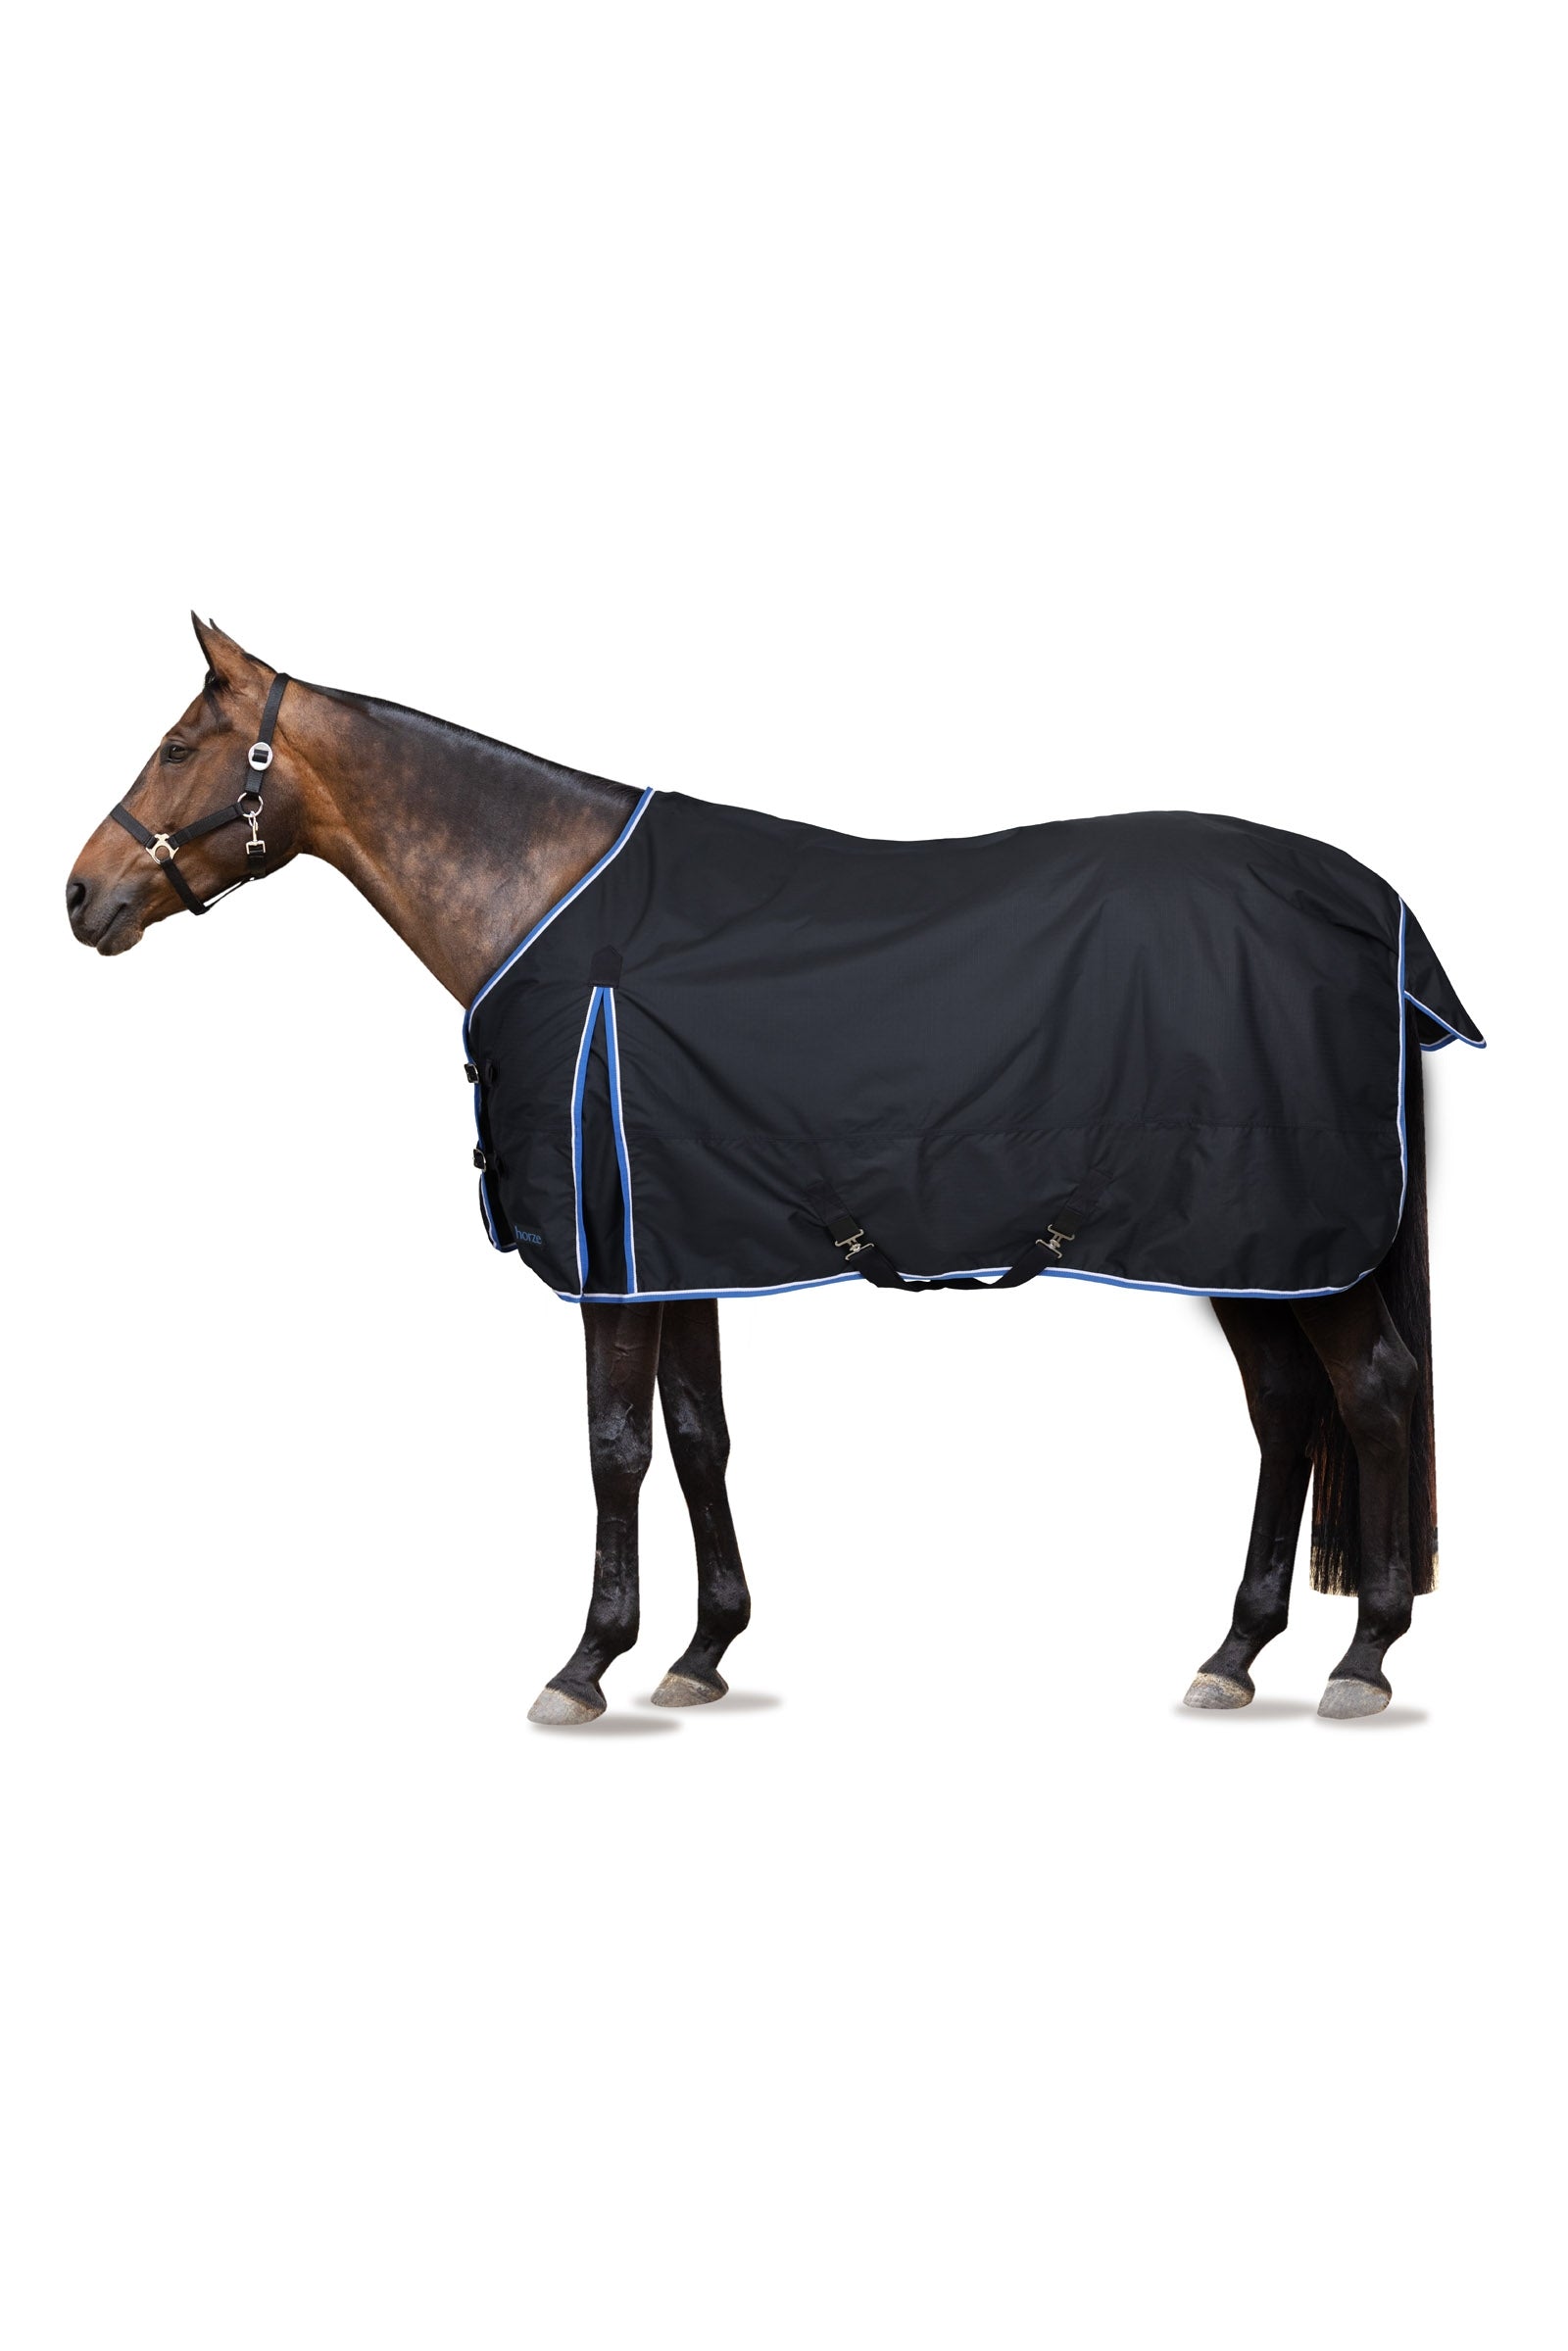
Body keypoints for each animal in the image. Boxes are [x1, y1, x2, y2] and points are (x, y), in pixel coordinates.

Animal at [66, 616, 1474, 1725]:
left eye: (180, 746)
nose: (81, 895)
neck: (551, 906)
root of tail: (1377, 913)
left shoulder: (615, 1261)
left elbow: (616, 1447)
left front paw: (586, 1661)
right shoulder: (677, 1244)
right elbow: (700, 1433)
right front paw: (702, 1649)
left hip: (1291, 1239)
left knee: (1374, 1393)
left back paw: (1363, 1654)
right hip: (1254, 1248)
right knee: (1287, 1409)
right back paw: (1235, 1649)